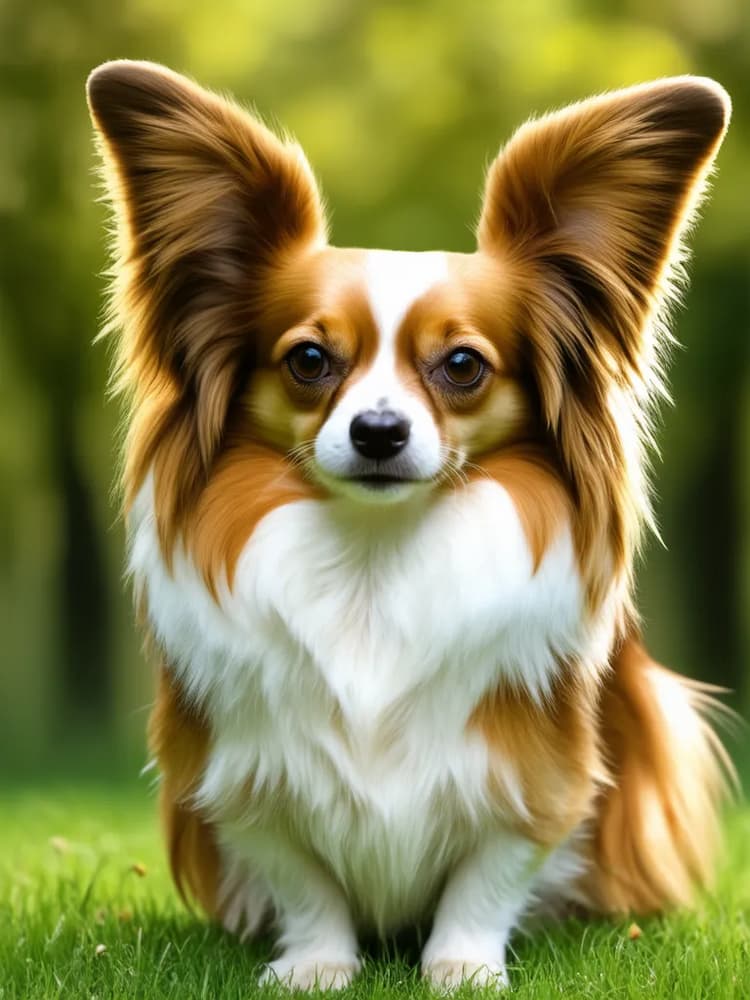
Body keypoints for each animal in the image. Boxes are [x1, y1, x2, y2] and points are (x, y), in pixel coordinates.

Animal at [86, 64, 736, 992]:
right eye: (309, 360)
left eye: (462, 365)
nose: (379, 432)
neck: (375, 557)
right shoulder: (244, 771)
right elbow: (303, 878)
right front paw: (316, 966)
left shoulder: (536, 773)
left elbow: (490, 875)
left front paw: (462, 967)